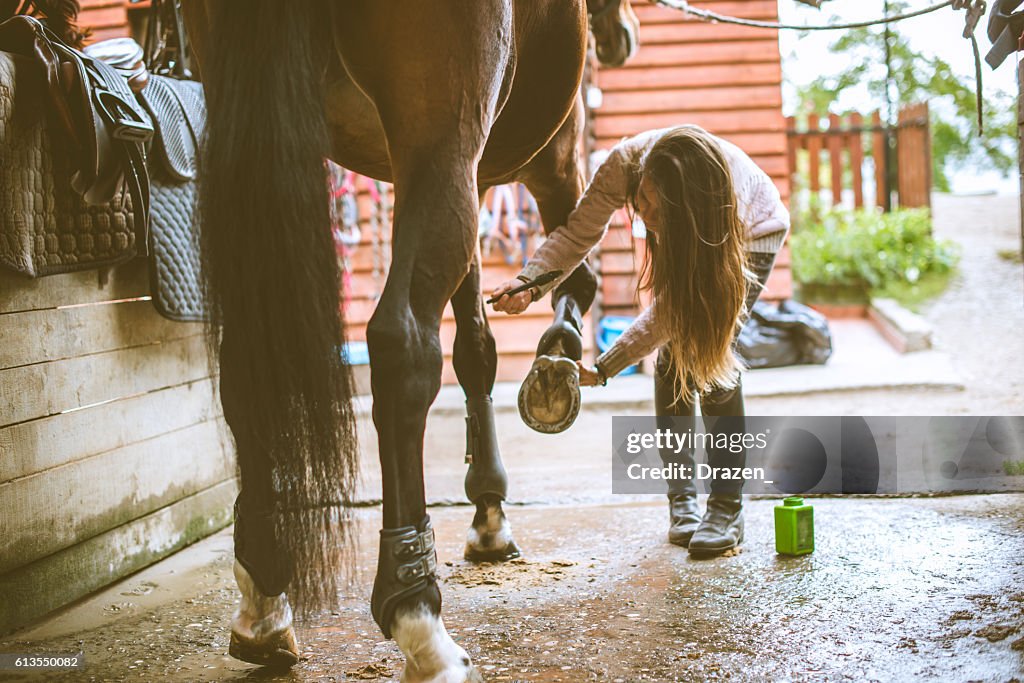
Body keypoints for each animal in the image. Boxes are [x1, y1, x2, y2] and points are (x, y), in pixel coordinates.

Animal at [182, 2, 630, 679]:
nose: (623, 38)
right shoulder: (547, 158)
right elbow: (572, 275)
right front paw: (555, 361)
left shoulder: (465, 177)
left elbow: (476, 349)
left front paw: (489, 509)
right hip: (442, 133)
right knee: (403, 343)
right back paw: (417, 615)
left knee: (245, 367)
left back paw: (264, 601)